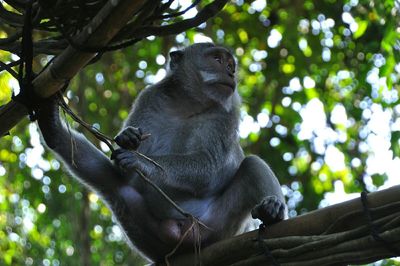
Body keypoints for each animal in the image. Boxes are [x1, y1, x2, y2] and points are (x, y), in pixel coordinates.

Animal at [37, 42, 286, 262]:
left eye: (230, 64)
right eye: (217, 59)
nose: (230, 72)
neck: (188, 105)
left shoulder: (227, 113)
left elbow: (210, 169)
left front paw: (141, 161)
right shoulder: (150, 97)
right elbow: (123, 171)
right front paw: (128, 137)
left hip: (216, 229)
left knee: (253, 164)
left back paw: (272, 211)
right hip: (151, 236)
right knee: (115, 185)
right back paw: (52, 129)